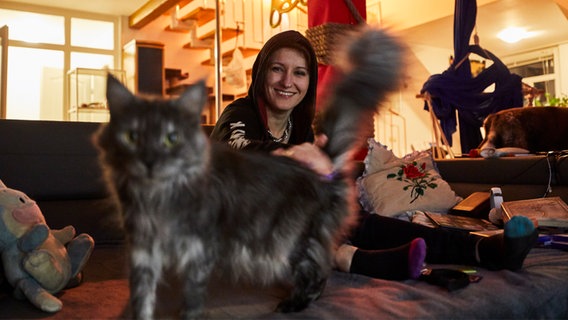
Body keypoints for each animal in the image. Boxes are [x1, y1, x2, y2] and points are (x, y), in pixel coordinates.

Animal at [94, 26, 404, 318]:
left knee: (318, 272)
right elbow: (142, 301)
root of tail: (325, 163)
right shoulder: (142, 251)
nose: (149, 161)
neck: (160, 197)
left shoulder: (197, 251)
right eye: (131, 136)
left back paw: (292, 305)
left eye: (172, 138)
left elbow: (190, 300)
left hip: (290, 239)